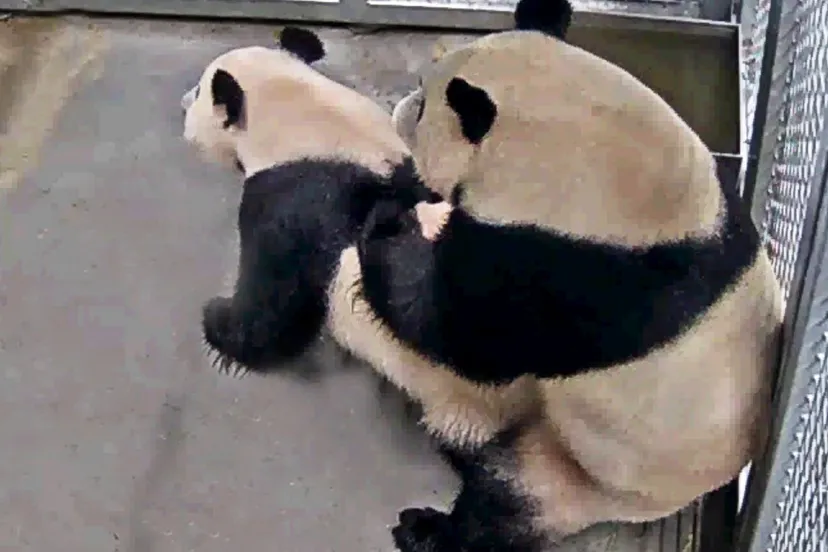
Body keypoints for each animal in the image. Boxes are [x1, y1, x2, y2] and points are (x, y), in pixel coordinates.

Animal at [326, 0, 786, 549]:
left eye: (421, 110)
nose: (399, 110)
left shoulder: (570, 275)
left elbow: (458, 330)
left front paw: (388, 223)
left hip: (597, 472)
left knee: (511, 496)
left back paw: (431, 529)